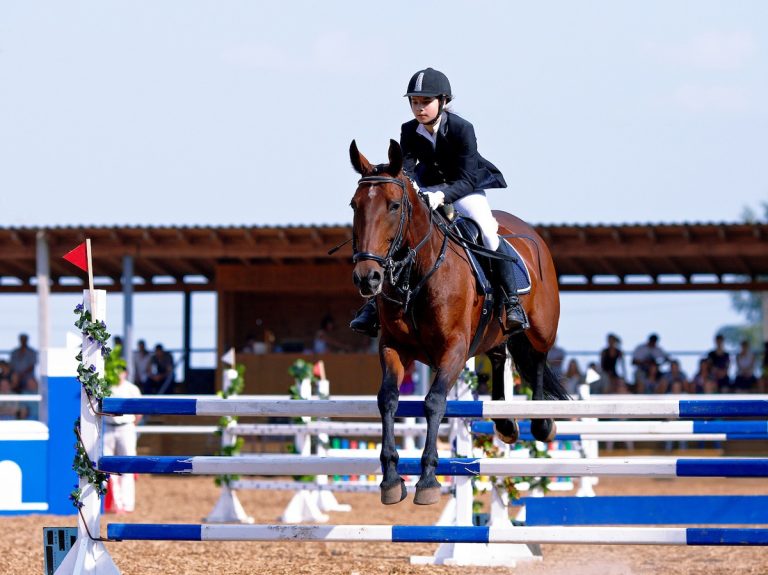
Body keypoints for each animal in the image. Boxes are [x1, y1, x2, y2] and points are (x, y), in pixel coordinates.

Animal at [349, 139, 569, 506]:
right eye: (354, 205)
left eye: (394, 206)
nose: (368, 278)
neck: (416, 274)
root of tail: (530, 233)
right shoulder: (393, 347)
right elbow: (388, 399)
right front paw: (391, 479)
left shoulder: (453, 349)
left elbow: (434, 401)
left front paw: (427, 480)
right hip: (494, 333)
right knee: (499, 356)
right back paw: (505, 424)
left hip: (541, 327)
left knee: (537, 358)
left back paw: (541, 421)